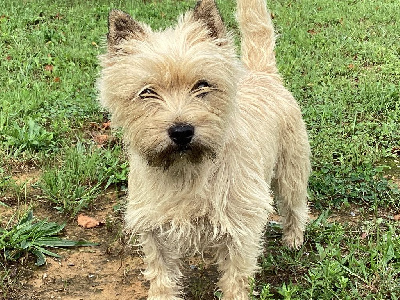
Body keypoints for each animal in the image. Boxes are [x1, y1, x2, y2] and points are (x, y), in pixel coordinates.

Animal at [98, 0, 310, 298]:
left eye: (202, 84)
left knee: (295, 205)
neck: (185, 170)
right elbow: (161, 274)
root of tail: (262, 73)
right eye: (146, 92)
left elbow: (236, 277)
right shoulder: (153, 228)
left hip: (291, 170)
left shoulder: (241, 226)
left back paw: (293, 238)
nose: (181, 131)